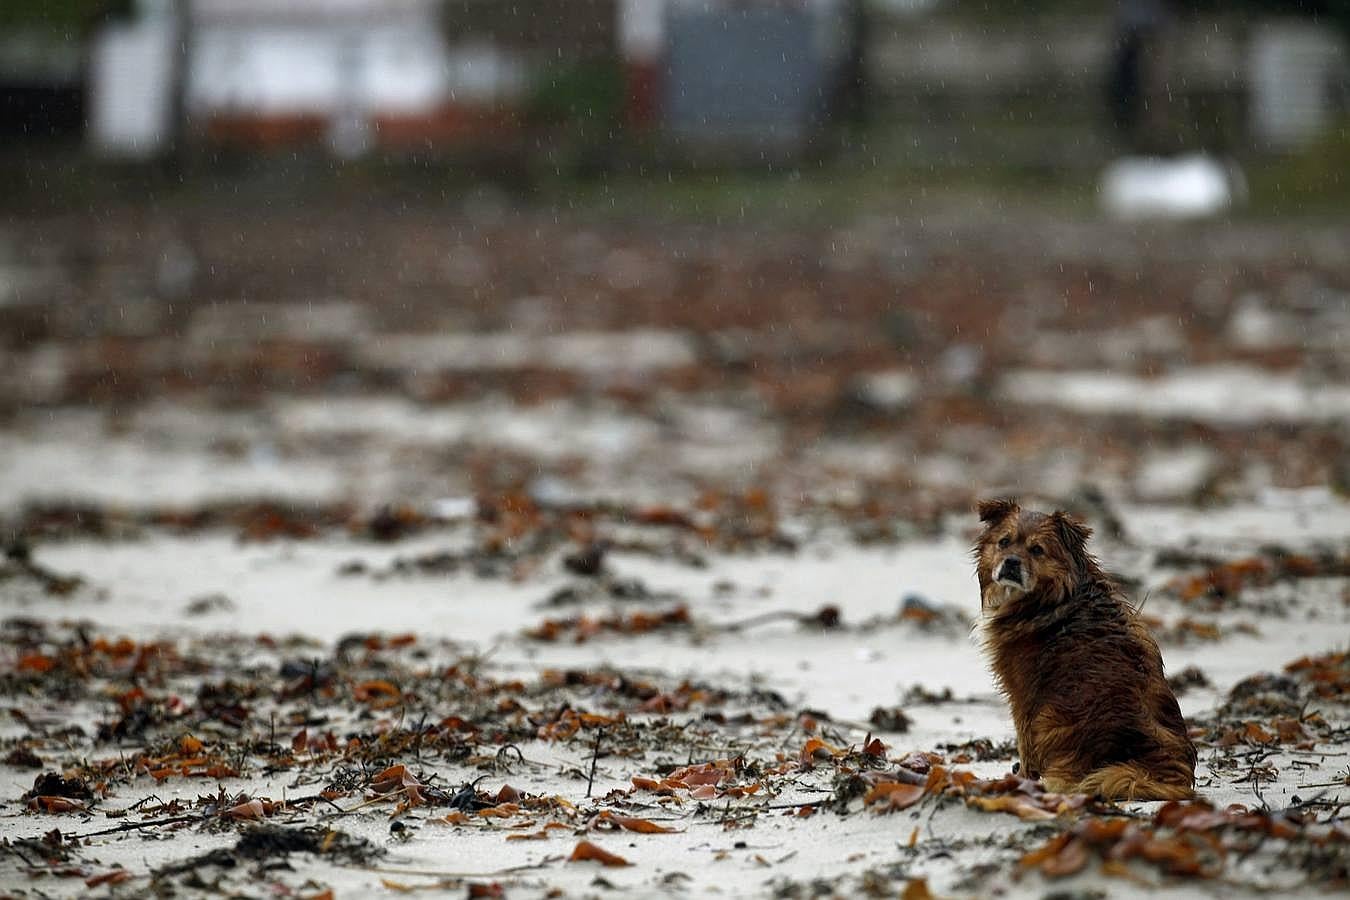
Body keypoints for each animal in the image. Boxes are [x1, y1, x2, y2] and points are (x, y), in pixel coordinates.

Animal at [977, 499, 1198, 804]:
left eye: (1037, 549)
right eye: (1004, 542)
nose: (1011, 562)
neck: (1056, 598)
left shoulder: (1024, 694)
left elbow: (1025, 742)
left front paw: (1022, 778)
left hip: (1052, 717)